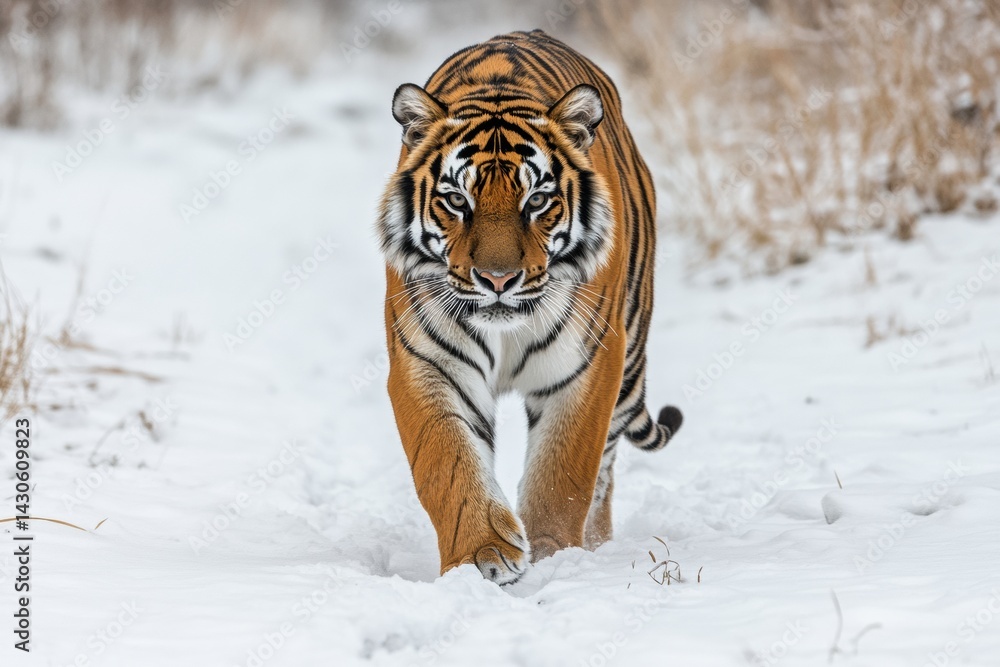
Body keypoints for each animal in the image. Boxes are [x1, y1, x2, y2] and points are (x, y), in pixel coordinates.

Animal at [377, 29, 683, 585]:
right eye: (457, 201)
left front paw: (553, 556)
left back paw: (596, 545)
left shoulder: (587, 363)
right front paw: (481, 554)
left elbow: (563, 474)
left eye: (537, 200)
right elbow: (447, 463)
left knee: (605, 469)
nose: (498, 280)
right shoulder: (428, 360)